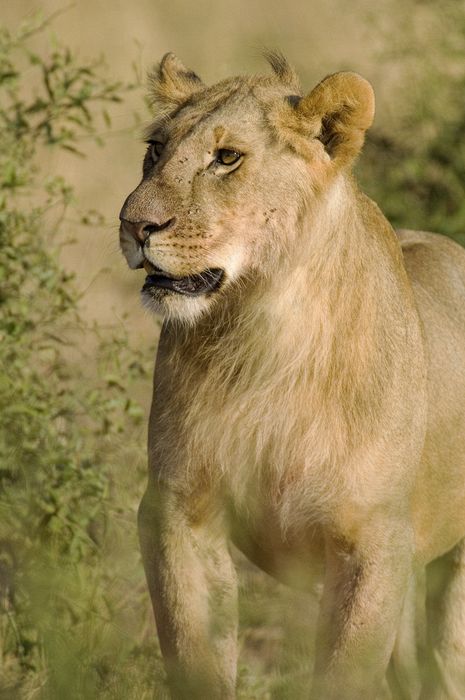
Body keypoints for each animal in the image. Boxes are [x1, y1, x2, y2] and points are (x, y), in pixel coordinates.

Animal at [119, 52, 465, 699]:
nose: (134, 226)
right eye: (155, 149)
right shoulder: (178, 513)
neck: (261, 334)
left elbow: (343, 675)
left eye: (227, 158)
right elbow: (195, 654)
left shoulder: (374, 540)